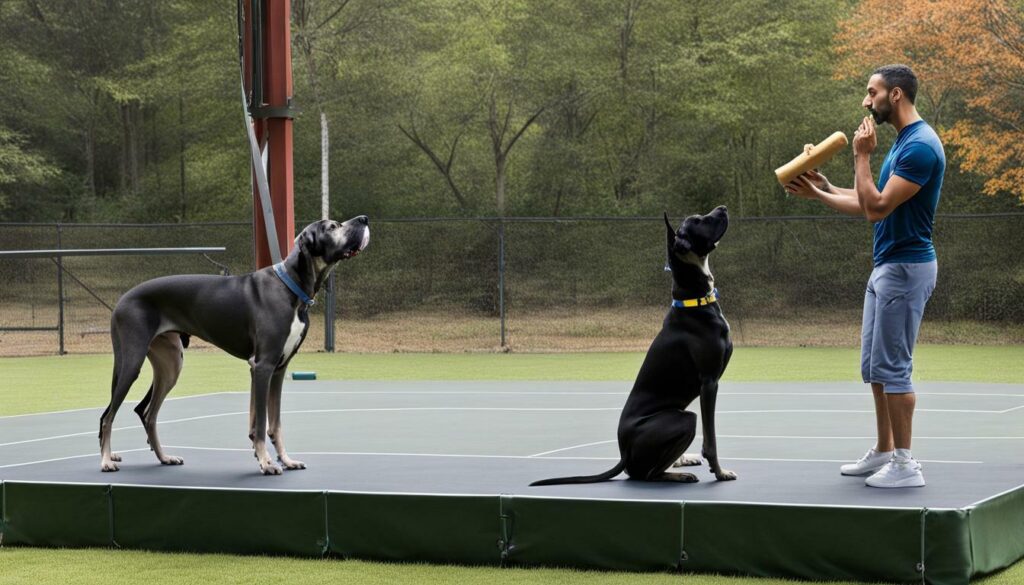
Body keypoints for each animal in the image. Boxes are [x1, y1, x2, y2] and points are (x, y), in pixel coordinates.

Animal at [99, 218, 370, 475]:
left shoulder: (278, 369)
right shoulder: (263, 366)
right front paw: (267, 463)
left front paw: (284, 460)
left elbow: (273, 423)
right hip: (131, 362)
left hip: (171, 366)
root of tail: (122, 299)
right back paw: (106, 460)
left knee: (148, 414)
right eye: (332, 227)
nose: (364, 219)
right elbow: (262, 423)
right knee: (108, 416)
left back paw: (164, 457)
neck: (290, 286)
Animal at [536, 205, 737, 485]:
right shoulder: (709, 382)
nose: (723, 208)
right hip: (684, 419)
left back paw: (681, 461)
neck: (695, 299)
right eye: (697, 221)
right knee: (643, 474)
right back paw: (678, 474)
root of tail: (624, 453)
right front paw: (720, 472)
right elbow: (711, 442)